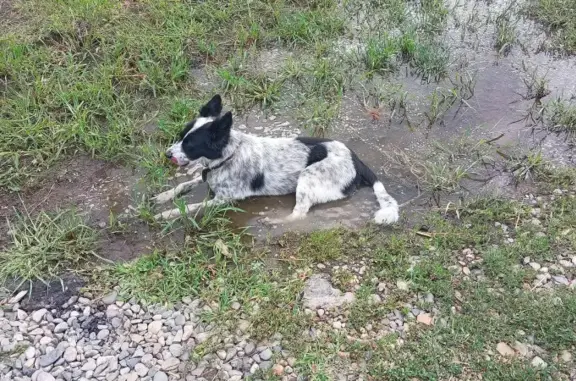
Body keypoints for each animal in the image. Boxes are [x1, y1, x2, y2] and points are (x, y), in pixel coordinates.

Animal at [152, 95, 400, 224]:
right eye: (181, 136)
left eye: (190, 145)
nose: (167, 155)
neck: (229, 154)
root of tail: (356, 159)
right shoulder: (206, 178)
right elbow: (184, 184)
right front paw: (164, 196)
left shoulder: (224, 199)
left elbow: (190, 207)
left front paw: (166, 214)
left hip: (307, 177)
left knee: (299, 214)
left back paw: (275, 222)